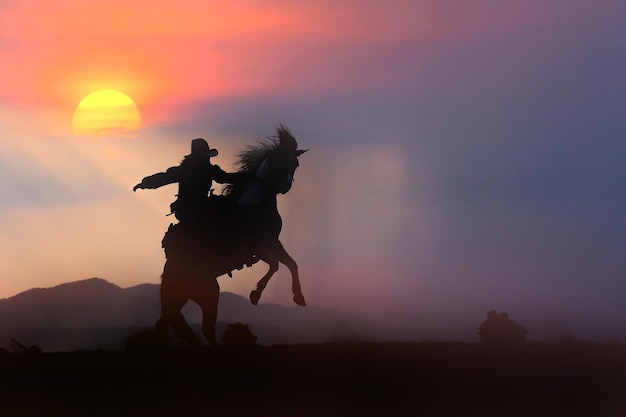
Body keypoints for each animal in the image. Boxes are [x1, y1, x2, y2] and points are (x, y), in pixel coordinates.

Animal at [154, 125, 304, 346]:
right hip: (204, 293)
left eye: (295, 163)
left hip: (194, 294)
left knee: (171, 323)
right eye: (279, 159)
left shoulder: (272, 242)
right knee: (198, 326)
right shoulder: (257, 246)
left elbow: (291, 264)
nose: (285, 187)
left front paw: (299, 296)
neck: (253, 207)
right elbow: (275, 265)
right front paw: (255, 294)